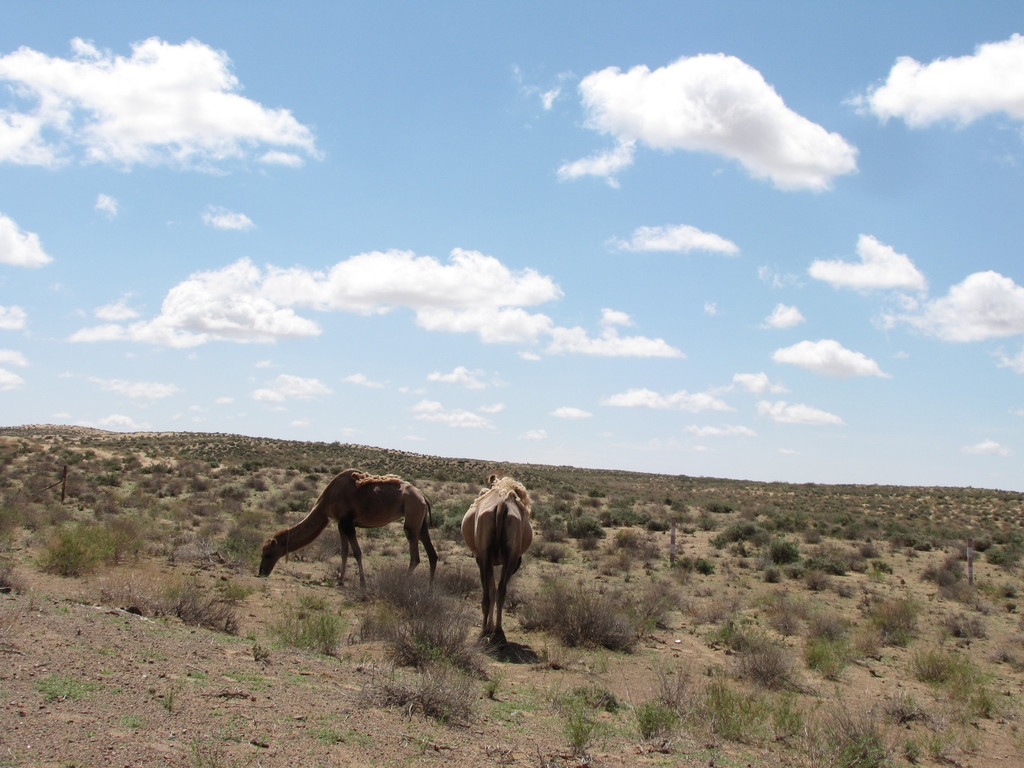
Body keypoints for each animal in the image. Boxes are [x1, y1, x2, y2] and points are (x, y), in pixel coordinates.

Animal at [258, 468, 438, 589]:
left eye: (267, 553)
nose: (261, 572)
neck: (326, 502)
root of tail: (423, 497)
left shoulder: (347, 523)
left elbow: (357, 552)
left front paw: (362, 583)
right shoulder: (340, 524)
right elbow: (344, 552)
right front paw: (340, 580)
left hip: (412, 515)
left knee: (415, 555)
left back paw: (404, 584)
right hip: (420, 520)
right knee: (431, 553)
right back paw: (430, 588)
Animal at [460, 475, 532, 643]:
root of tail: (501, 506)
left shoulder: (484, 559)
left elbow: (491, 588)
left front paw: (489, 628)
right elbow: (495, 588)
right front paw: (492, 628)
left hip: (485, 556)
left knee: (488, 594)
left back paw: (485, 632)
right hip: (510, 557)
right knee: (501, 592)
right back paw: (498, 633)